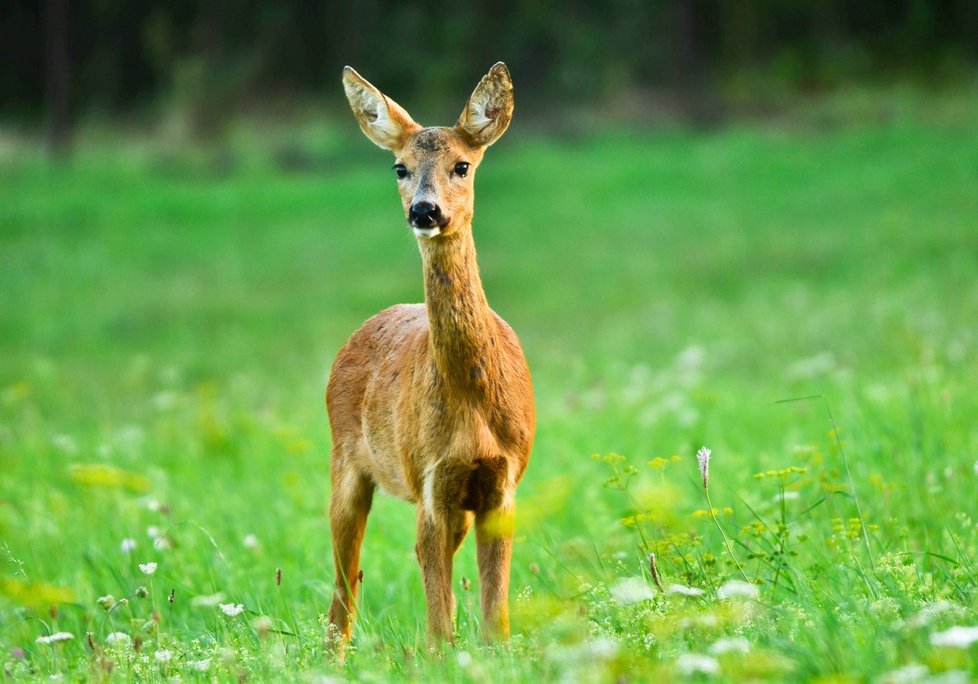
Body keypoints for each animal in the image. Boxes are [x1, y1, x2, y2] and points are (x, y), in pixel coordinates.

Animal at [326, 65, 532, 656]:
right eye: (400, 167)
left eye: (462, 165)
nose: (425, 210)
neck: (474, 408)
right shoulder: (430, 478)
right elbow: (439, 626)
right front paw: (444, 658)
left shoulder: (501, 482)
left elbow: (495, 618)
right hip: (346, 462)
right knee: (346, 582)